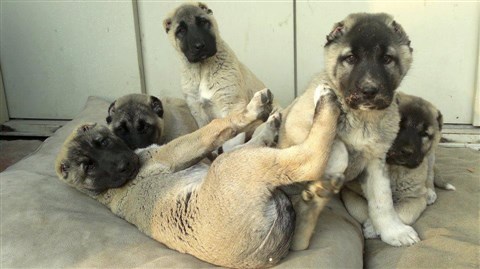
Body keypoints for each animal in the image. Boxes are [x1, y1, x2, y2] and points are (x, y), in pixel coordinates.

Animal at [342, 91, 454, 233]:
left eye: (424, 134)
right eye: (399, 125)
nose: (407, 151)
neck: (394, 169)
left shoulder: (415, 198)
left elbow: (402, 213)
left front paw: (374, 228)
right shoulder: (350, 192)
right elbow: (363, 209)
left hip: (430, 156)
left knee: (430, 173)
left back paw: (429, 192)